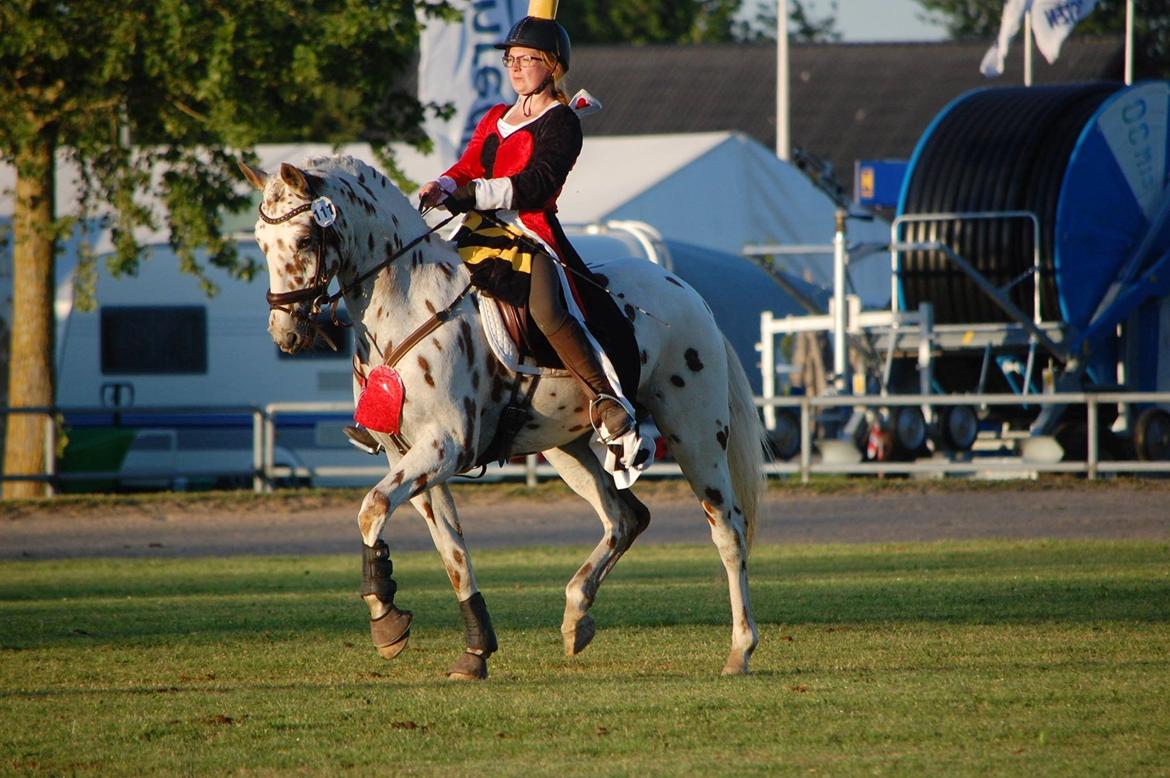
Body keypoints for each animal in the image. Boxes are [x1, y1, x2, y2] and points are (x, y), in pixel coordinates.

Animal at [239, 154, 767, 678]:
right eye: (262, 243)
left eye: (304, 240)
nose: (285, 332)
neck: (410, 307)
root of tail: (687, 292)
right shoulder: (408, 458)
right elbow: (451, 553)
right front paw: (474, 649)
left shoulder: (445, 447)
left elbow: (372, 508)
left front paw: (386, 617)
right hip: (566, 446)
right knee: (624, 517)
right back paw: (576, 616)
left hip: (694, 434)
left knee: (728, 531)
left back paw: (739, 650)